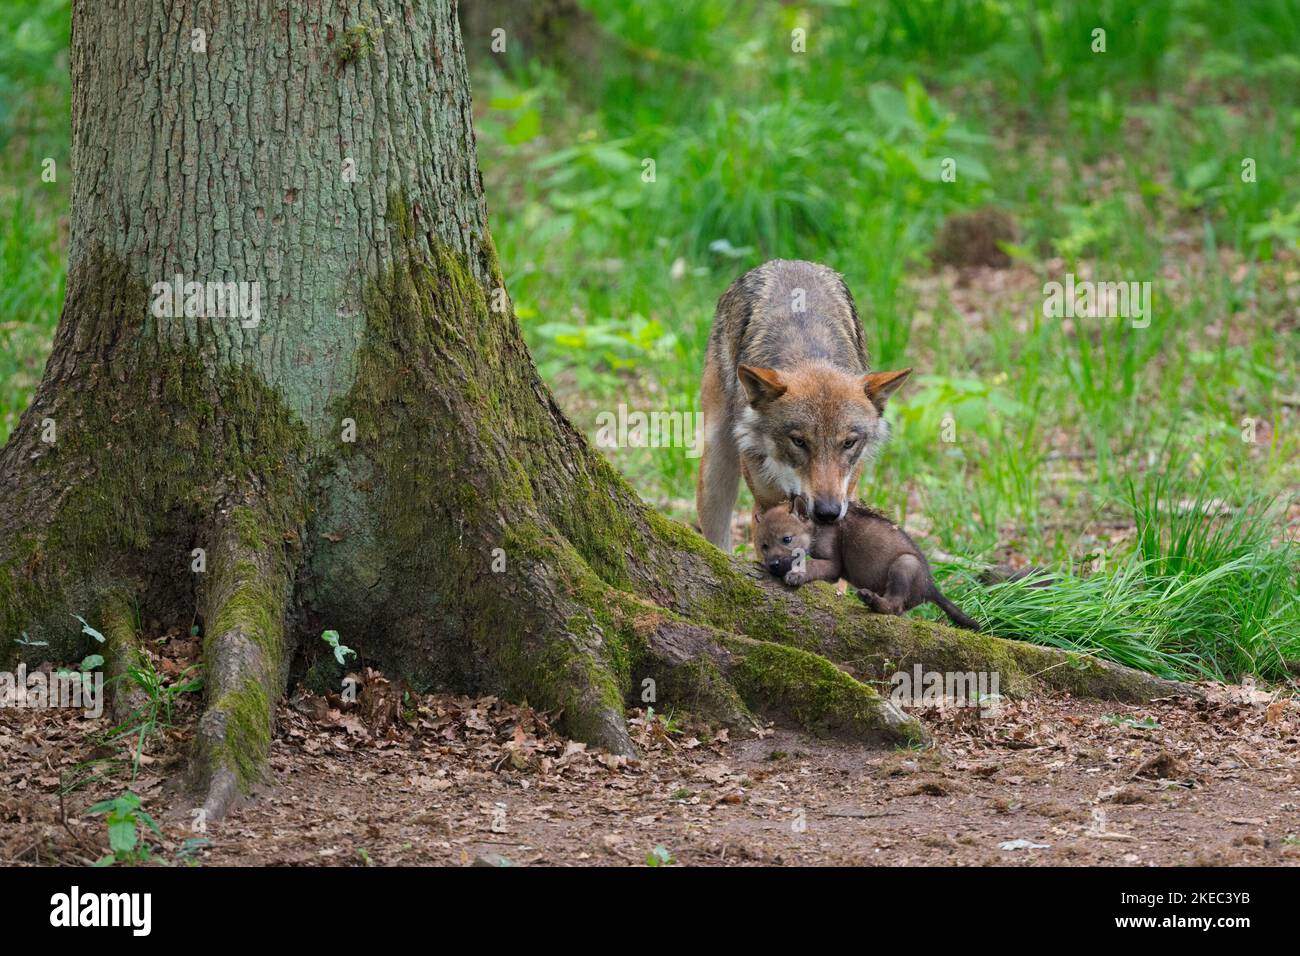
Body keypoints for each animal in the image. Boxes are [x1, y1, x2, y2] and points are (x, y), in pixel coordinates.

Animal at [696, 259, 911, 550]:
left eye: (848, 443)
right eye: (799, 441)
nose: (828, 511)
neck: (807, 354)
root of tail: (789, 261)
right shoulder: (767, 505)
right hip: (715, 468)